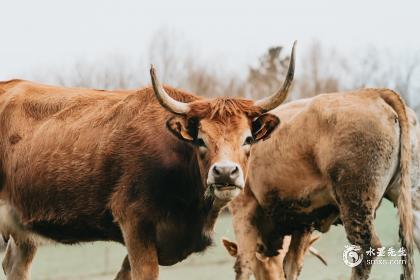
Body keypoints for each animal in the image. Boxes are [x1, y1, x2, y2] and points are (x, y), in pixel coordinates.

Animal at [225, 90, 418, 280]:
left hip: (355, 203)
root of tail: (374, 93)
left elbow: (244, 265)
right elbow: (291, 265)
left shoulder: (243, 209)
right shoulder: (303, 221)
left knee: (366, 248)